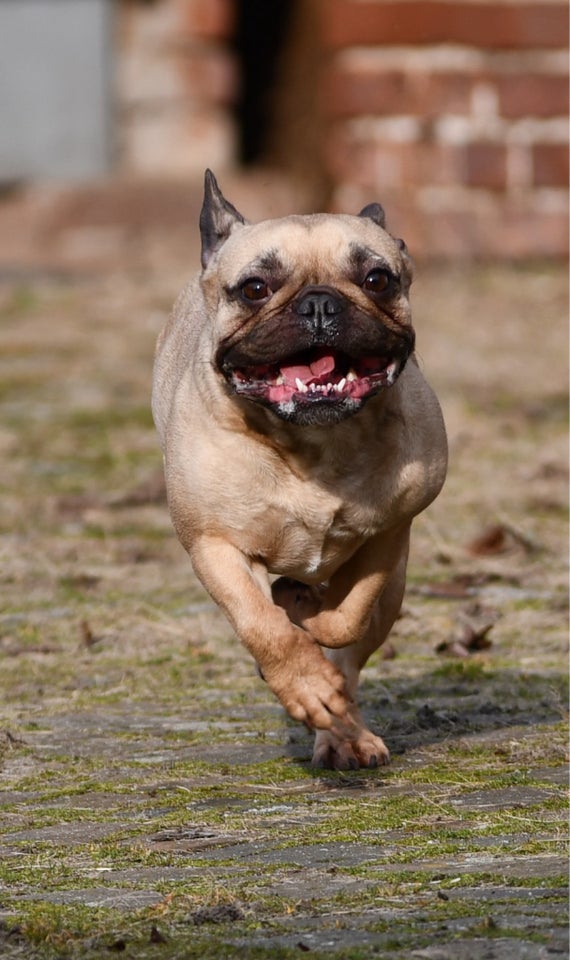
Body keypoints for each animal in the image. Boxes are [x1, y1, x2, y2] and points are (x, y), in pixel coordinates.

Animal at [153, 172, 446, 772]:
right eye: (254, 289)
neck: (314, 442)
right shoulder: (214, 546)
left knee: (352, 660)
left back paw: (345, 734)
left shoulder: (388, 536)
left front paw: (308, 613)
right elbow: (263, 626)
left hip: (396, 591)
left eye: (377, 280)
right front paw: (301, 680)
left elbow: (346, 618)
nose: (319, 304)